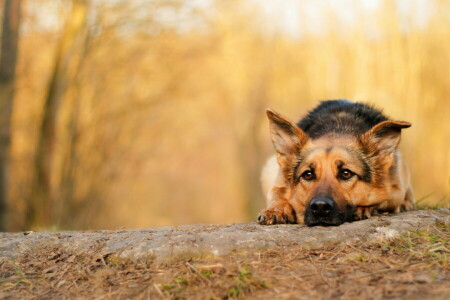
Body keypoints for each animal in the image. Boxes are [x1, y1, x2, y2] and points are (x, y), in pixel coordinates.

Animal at [256, 99, 414, 226]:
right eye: (308, 174)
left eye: (346, 173)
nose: (320, 207)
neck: (337, 129)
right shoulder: (277, 182)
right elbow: (277, 194)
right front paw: (276, 210)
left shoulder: (395, 192)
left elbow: (382, 201)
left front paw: (363, 208)